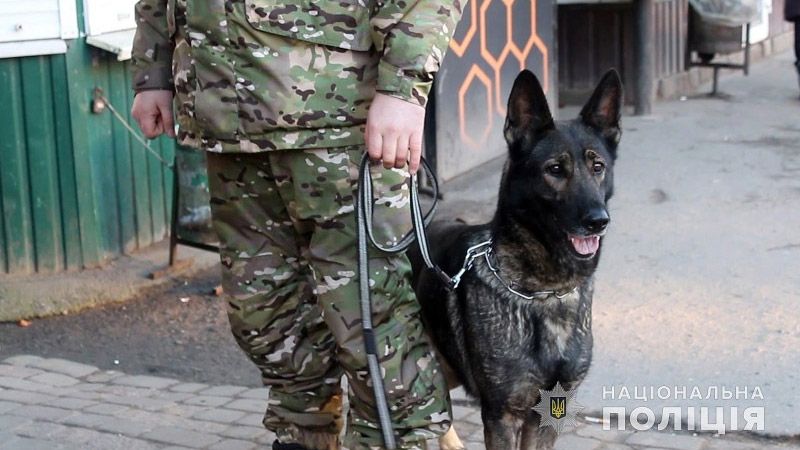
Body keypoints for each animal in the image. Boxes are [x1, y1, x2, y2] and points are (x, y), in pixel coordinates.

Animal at [410, 68, 620, 448]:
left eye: (598, 167)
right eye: (555, 169)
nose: (598, 221)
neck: (544, 292)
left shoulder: (549, 413)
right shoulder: (501, 416)